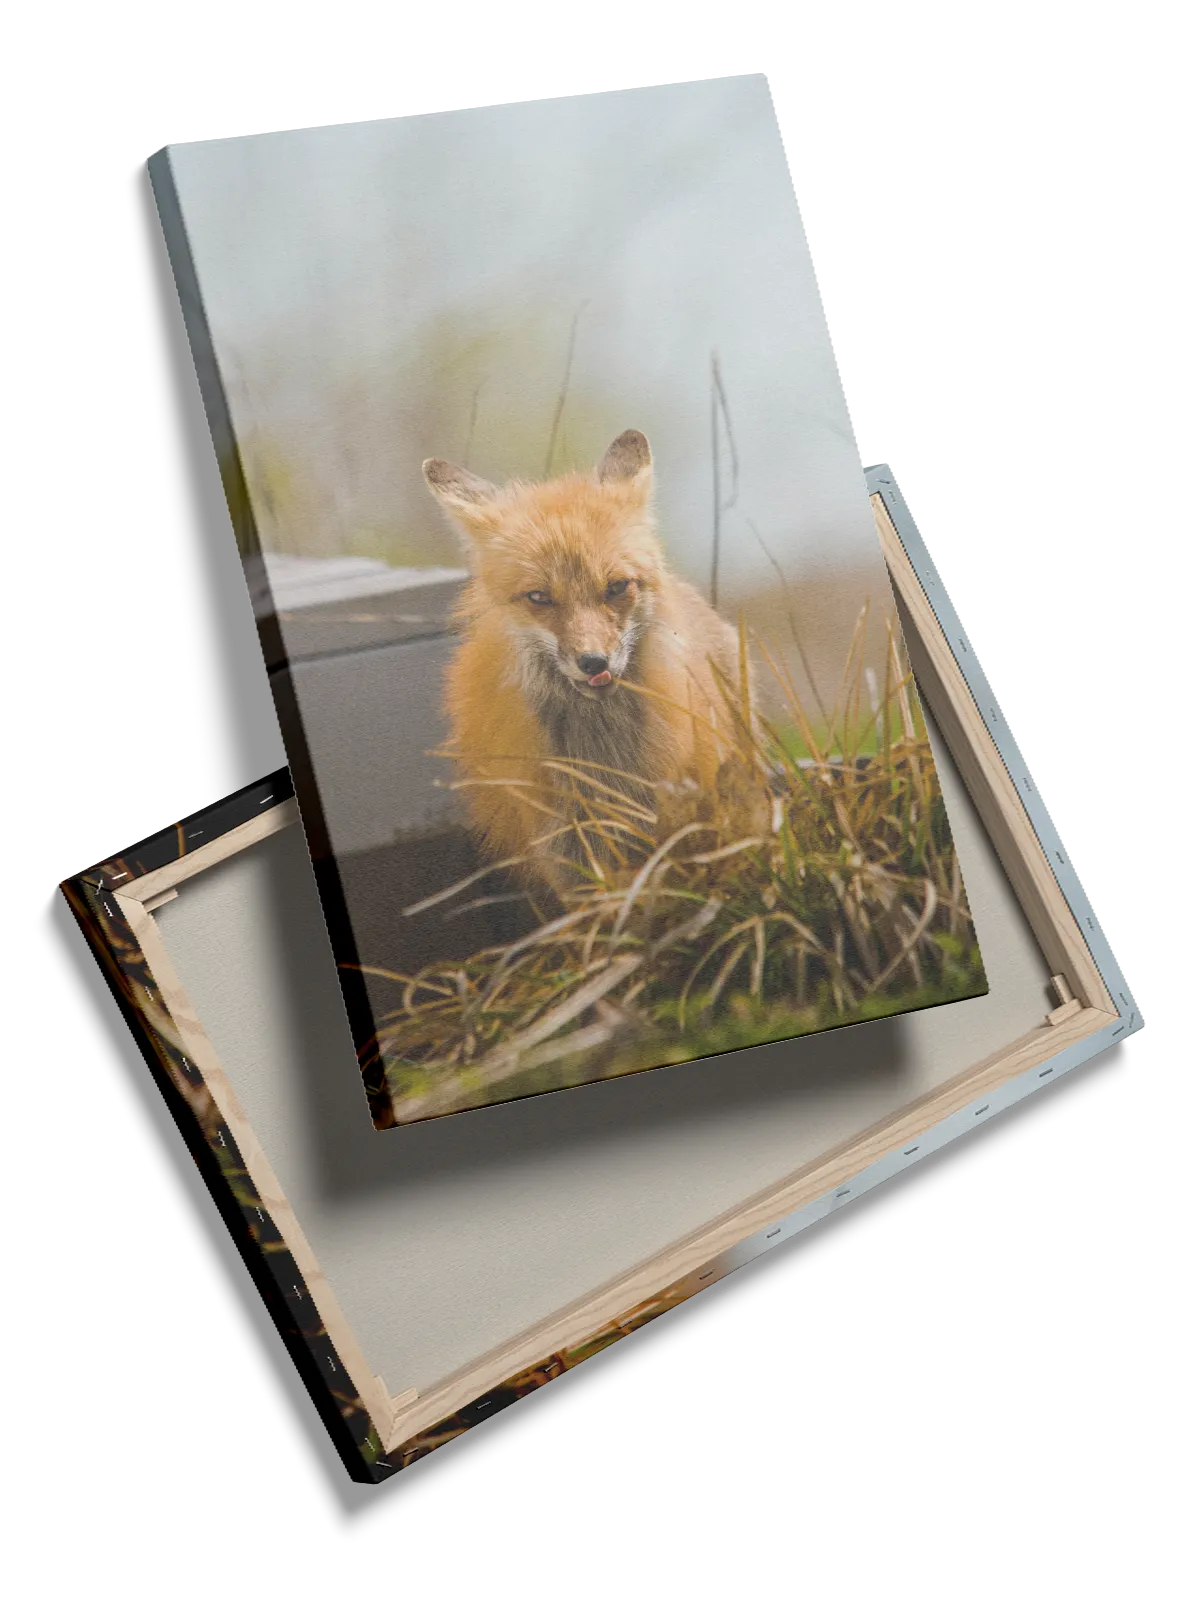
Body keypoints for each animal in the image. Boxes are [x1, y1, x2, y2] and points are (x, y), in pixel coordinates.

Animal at [423, 429, 752, 889]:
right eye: (539, 597)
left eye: (616, 587)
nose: (594, 662)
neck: (605, 763)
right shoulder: (567, 854)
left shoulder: (679, 826)